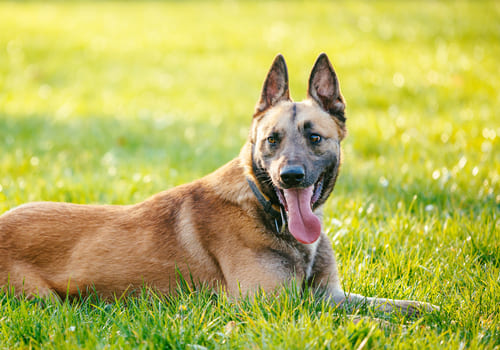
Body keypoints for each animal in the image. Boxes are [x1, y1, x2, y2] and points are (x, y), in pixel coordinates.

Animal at [0, 53, 436, 316]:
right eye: (272, 140)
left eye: (315, 137)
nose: (290, 176)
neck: (266, 209)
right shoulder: (272, 306)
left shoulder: (332, 295)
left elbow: (392, 306)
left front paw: (430, 312)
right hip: (46, 301)